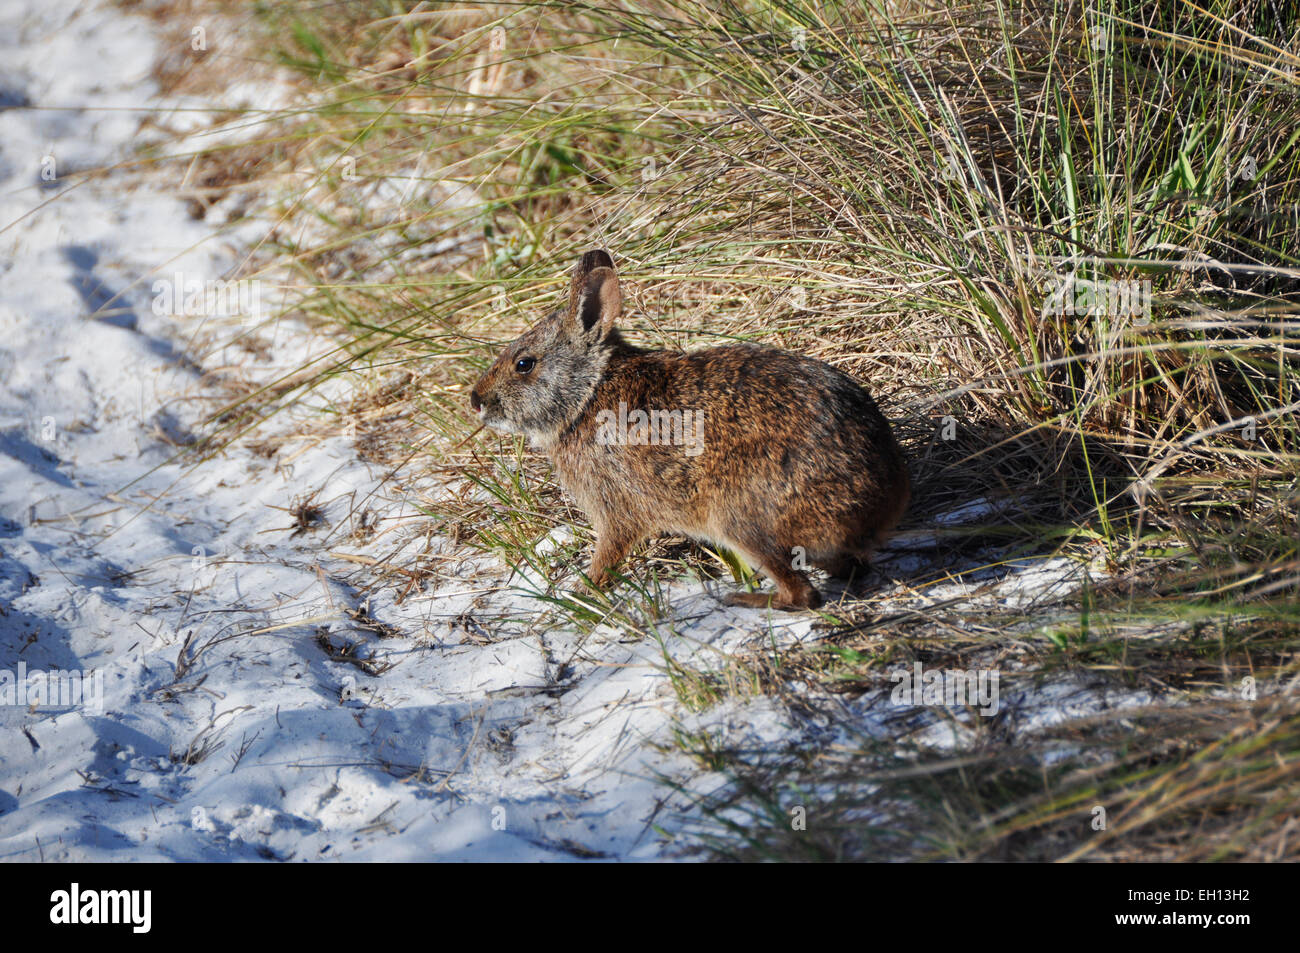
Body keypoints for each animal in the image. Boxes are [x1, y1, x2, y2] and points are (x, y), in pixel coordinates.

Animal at [473, 249, 909, 608]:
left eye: (524, 364)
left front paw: (582, 591)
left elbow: (609, 550)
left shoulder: (614, 506)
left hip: (741, 518)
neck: (587, 393)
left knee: (803, 594)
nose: (476, 400)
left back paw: (744, 600)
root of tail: (879, 503)